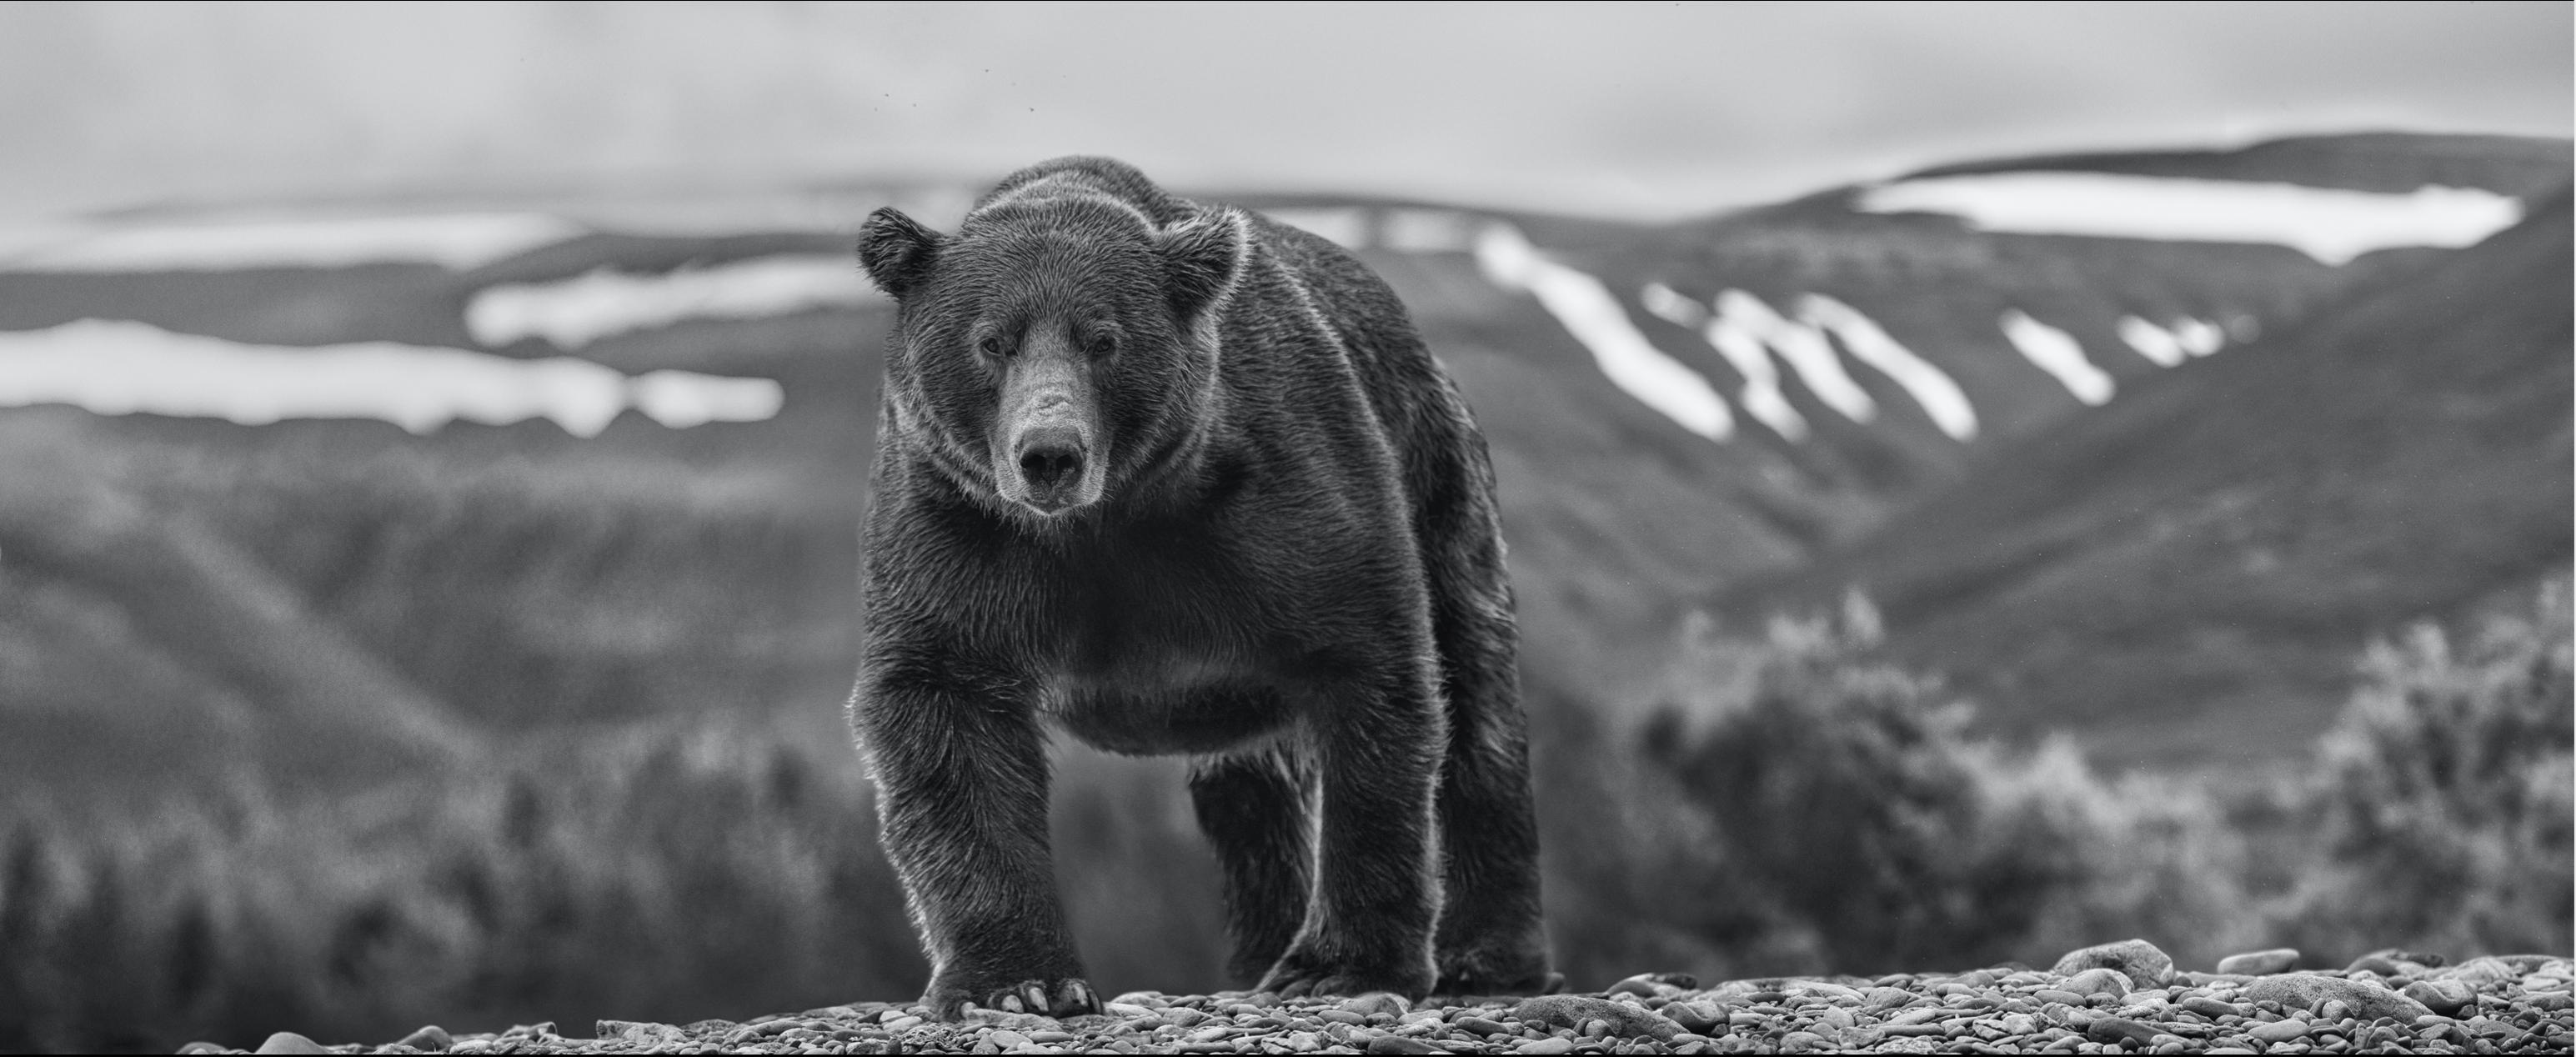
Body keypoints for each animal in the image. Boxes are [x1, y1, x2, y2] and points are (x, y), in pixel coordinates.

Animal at [849, 154, 1546, 1015]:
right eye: (991, 340)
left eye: (1104, 338)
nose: (1049, 454)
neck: (1110, 516)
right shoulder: (958, 526)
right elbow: (945, 706)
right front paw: (1016, 982)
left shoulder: (1280, 497)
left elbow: (1368, 671)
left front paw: (1340, 963)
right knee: (1253, 798)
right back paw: (1261, 948)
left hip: (1437, 469)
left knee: (1478, 699)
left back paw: (1489, 956)